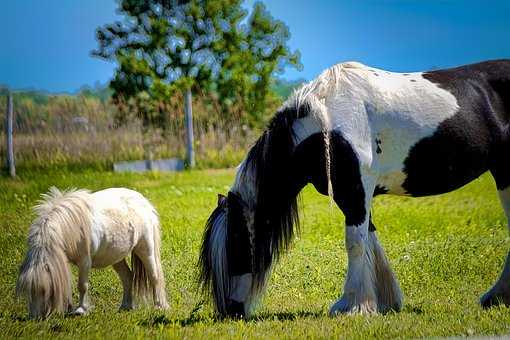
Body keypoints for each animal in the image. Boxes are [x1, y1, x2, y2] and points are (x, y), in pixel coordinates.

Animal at [16, 186, 168, 318]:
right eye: (28, 291)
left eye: (43, 290)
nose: (34, 317)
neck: (69, 227)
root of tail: (144, 202)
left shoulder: (85, 261)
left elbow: (82, 285)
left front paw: (81, 310)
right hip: (116, 257)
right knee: (127, 277)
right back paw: (125, 306)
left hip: (146, 249)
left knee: (154, 276)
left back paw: (159, 306)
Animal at [198, 59, 510, 318]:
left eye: (235, 246)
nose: (229, 312)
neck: (327, 122)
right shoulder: (353, 197)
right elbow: (370, 240)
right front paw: (385, 301)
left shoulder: (355, 193)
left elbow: (356, 244)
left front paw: (353, 306)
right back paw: (496, 298)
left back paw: (496, 297)